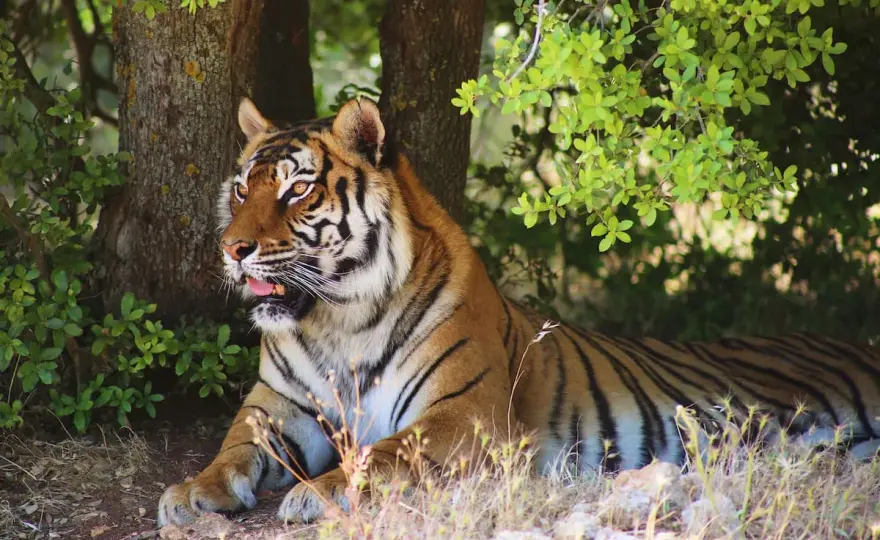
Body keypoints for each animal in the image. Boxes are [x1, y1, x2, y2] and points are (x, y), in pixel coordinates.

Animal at [157, 96, 880, 526]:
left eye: (297, 191)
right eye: (242, 188)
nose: (232, 249)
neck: (338, 322)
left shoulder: (463, 415)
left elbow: (384, 453)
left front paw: (315, 492)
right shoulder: (279, 405)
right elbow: (235, 445)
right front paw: (192, 492)